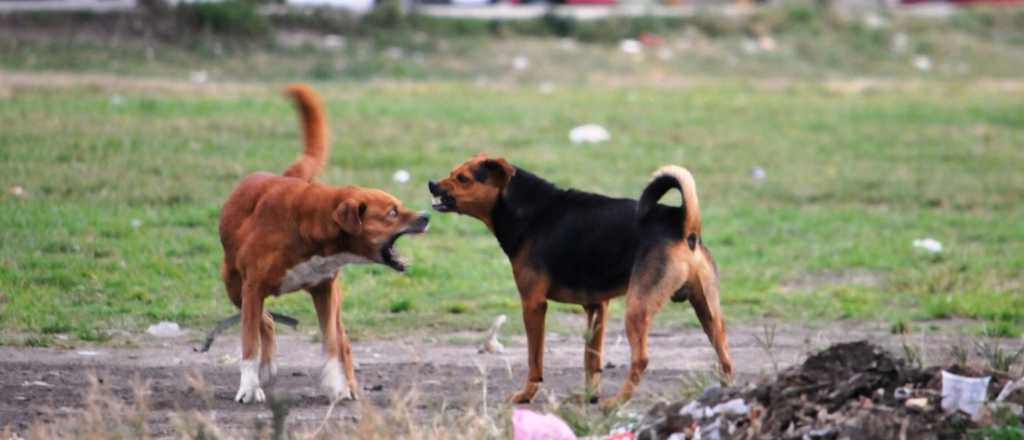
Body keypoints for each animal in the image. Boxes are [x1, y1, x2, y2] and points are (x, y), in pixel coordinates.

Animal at [222, 84, 430, 403]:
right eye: (392, 213)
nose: (426, 216)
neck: (308, 225)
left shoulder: (325, 290)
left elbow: (331, 343)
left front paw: (336, 384)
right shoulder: (252, 287)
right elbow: (249, 342)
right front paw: (249, 386)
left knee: (341, 339)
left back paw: (349, 384)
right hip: (234, 286)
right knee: (264, 321)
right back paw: (266, 368)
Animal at [428, 155, 733, 409]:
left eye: (463, 178)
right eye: (452, 172)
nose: (431, 184)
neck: (529, 211)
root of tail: (682, 223)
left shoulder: (533, 305)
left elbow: (535, 360)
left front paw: (526, 395)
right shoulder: (596, 307)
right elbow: (591, 360)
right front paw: (589, 397)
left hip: (637, 308)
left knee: (641, 360)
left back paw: (617, 401)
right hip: (708, 313)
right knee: (725, 355)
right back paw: (726, 394)